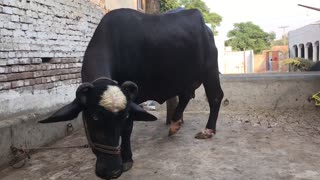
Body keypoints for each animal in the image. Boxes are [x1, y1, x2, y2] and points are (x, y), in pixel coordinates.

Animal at [40, 8, 224, 179]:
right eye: (94, 117)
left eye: (123, 117)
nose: (112, 171)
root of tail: (206, 29)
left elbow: (127, 129)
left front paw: (127, 159)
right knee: (186, 96)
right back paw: (175, 124)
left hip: (210, 71)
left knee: (215, 96)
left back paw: (208, 130)